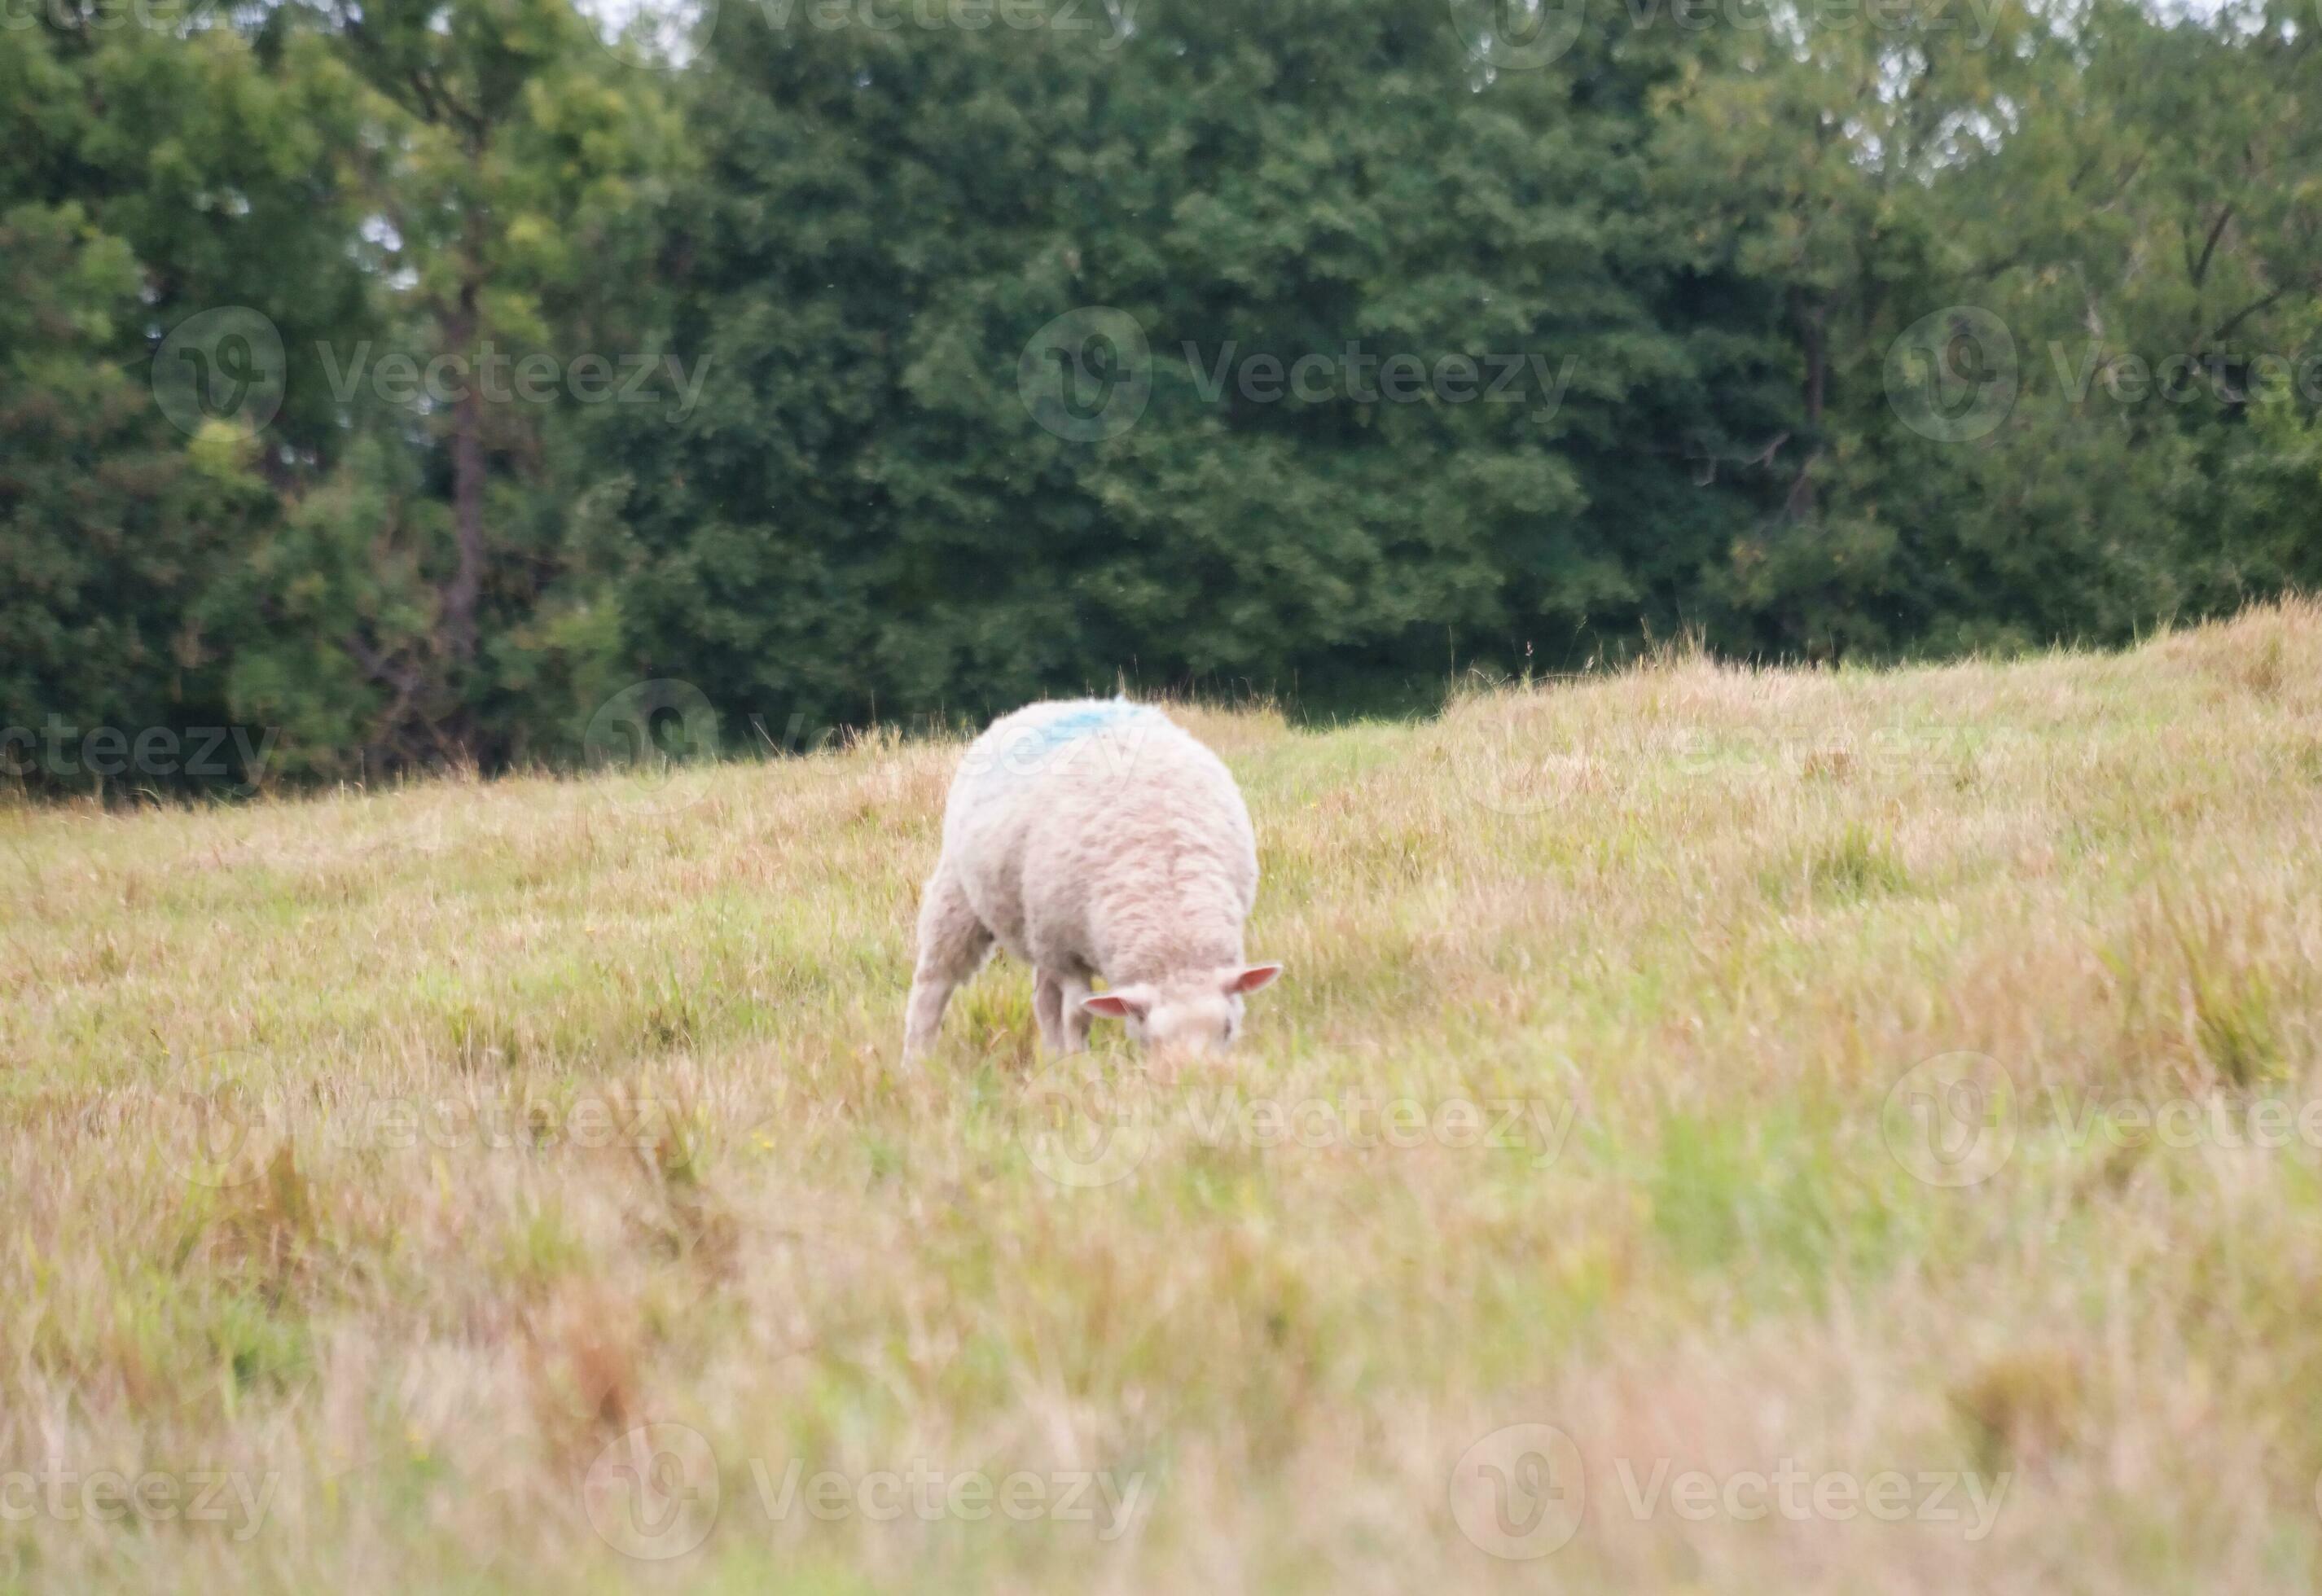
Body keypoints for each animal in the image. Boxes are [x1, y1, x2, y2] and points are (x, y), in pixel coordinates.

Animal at [901, 698, 1282, 1062]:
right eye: (1151, 1036)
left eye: (1228, 1029)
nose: (1193, 1076)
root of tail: (1059, 703)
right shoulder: (1067, 953)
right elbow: (1078, 1016)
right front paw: (1080, 1066)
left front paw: (1069, 1063)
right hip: (962, 894)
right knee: (935, 981)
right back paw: (917, 1061)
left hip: (1037, 928)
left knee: (1043, 1000)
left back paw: (1053, 1061)